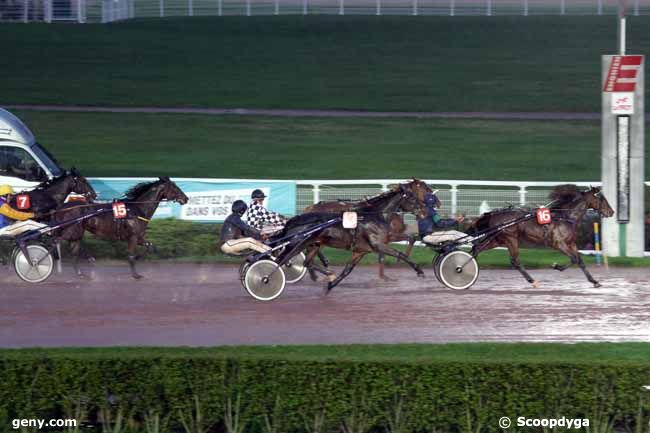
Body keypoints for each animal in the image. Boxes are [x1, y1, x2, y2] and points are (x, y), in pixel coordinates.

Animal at [53, 177, 187, 278]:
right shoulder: (133, 237)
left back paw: (80, 273)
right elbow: (131, 255)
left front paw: (139, 258)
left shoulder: (138, 237)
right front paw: (136, 274)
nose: (186, 198)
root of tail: (62, 207)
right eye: (175, 187)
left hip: (77, 232)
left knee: (73, 251)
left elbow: (150, 247)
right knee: (56, 241)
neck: (137, 209)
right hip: (72, 230)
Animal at [468, 183, 612, 286]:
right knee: (514, 261)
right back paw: (532, 281)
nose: (612, 212)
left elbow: (580, 260)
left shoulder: (571, 243)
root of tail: (493, 214)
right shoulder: (558, 243)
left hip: (498, 240)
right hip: (510, 239)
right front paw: (556, 266)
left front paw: (594, 281)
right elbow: (573, 259)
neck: (565, 216)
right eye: (602, 199)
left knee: (477, 248)